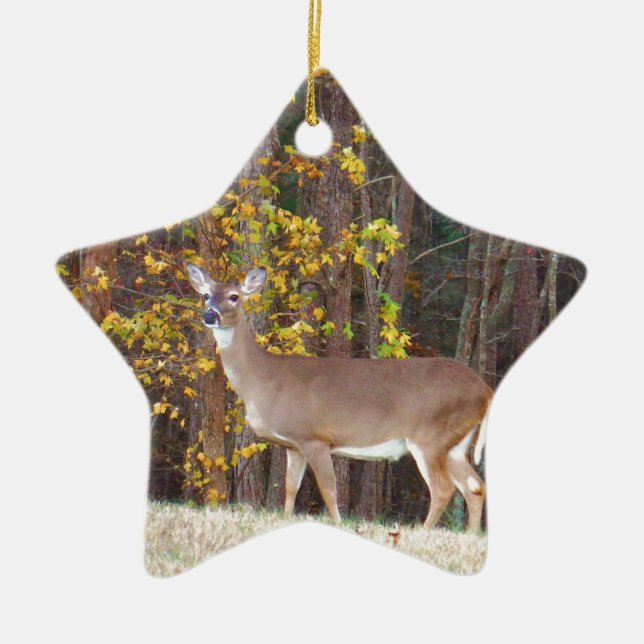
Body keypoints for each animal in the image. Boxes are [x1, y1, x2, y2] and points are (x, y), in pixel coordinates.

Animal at [186, 264, 493, 533]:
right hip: (454, 444)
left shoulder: (316, 438)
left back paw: (424, 531)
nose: (210, 315)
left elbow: (329, 489)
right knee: (475, 486)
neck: (265, 381)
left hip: (430, 436)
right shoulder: (294, 444)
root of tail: (485, 390)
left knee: (444, 489)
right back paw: (470, 535)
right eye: (206, 295)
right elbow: (290, 488)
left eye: (234, 296)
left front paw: (337, 524)